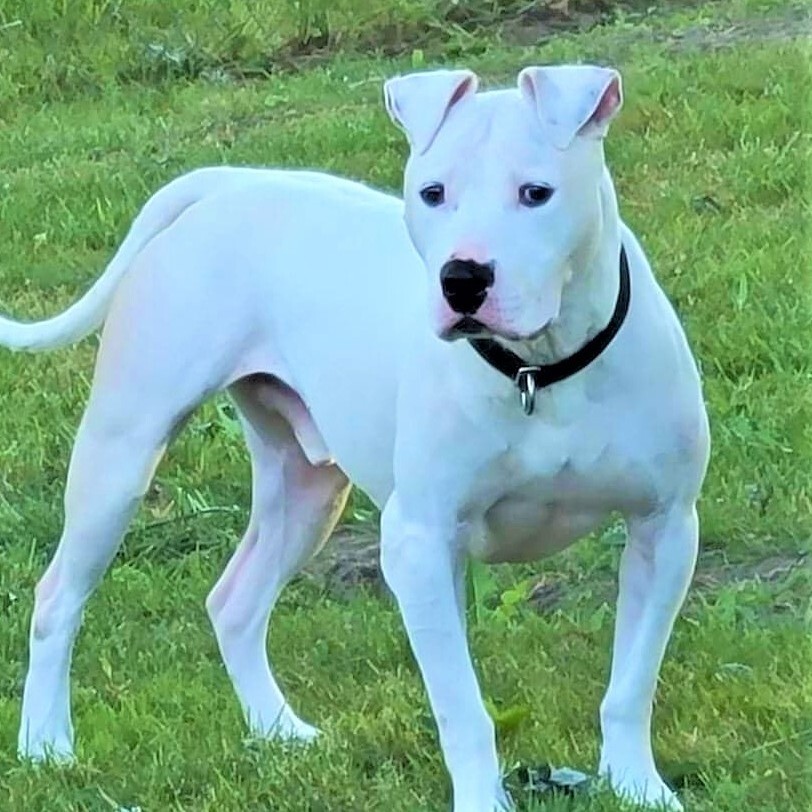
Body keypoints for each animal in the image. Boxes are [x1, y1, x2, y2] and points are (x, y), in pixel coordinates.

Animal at [1, 65, 704, 812]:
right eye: (433, 192)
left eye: (536, 193)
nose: (463, 279)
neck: (538, 369)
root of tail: (229, 182)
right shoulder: (421, 544)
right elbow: (462, 707)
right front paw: (484, 798)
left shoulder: (664, 528)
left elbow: (631, 685)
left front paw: (638, 788)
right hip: (122, 454)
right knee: (58, 599)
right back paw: (47, 745)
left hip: (306, 488)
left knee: (235, 602)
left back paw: (278, 730)